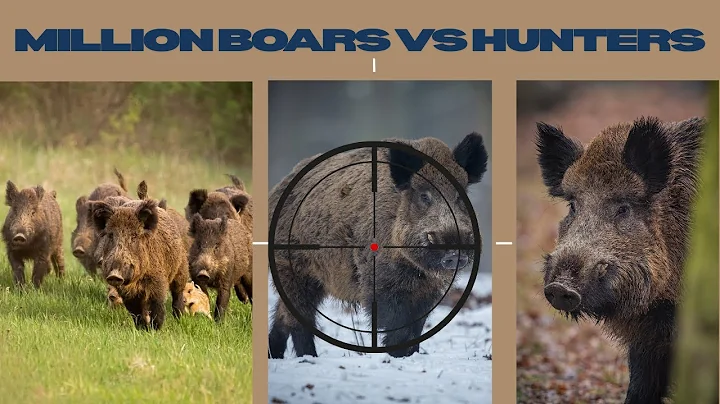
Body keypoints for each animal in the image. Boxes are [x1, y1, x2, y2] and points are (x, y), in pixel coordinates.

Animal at [89, 198, 189, 330]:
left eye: (134, 236)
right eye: (111, 235)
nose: (114, 275)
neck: (136, 281)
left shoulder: (158, 281)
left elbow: (157, 306)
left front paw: (155, 329)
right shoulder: (127, 293)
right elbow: (135, 311)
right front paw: (142, 329)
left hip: (181, 269)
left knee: (177, 294)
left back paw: (180, 318)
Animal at [268, 134, 488, 359]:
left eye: (460, 196)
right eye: (424, 196)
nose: (454, 253)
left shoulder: (428, 292)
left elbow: (416, 327)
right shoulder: (381, 284)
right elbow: (396, 327)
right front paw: (397, 356)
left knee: (282, 315)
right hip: (293, 270)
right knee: (299, 317)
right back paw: (308, 357)